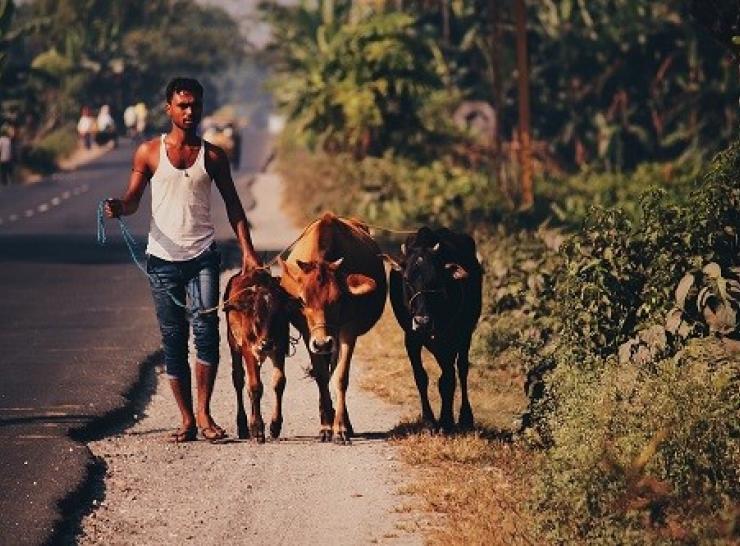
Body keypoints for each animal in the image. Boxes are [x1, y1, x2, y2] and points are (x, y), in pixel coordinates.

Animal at [225, 268, 292, 442]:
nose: (266, 344)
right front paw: (257, 428)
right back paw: (243, 425)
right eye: (256, 315)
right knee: (239, 380)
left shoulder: (279, 348)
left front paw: (275, 426)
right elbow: (255, 387)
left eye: (277, 315)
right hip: (234, 344)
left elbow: (279, 383)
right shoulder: (249, 351)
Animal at [280, 212, 388, 442]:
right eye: (302, 300)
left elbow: (340, 377)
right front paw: (326, 426)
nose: (322, 343)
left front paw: (341, 428)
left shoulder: (348, 330)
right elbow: (322, 377)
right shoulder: (308, 334)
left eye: (338, 299)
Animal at [384, 225, 482, 430]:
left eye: (436, 280)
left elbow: (447, 379)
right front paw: (429, 420)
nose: (422, 321)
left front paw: (446, 420)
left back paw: (465, 417)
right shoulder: (411, 338)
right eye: (406, 280)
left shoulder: (451, 338)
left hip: (466, 333)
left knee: (462, 369)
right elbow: (421, 377)